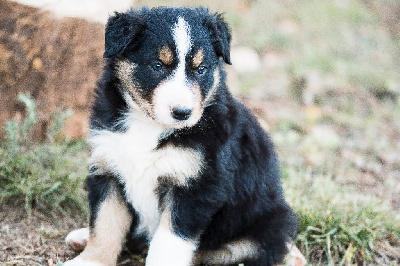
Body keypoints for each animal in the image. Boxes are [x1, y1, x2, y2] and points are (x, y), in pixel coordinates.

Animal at [65, 6, 296, 266]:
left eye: (201, 69)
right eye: (157, 66)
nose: (182, 113)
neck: (148, 125)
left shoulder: (196, 186)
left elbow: (168, 242)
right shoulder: (108, 169)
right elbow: (106, 224)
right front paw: (91, 260)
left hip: (267, 226)